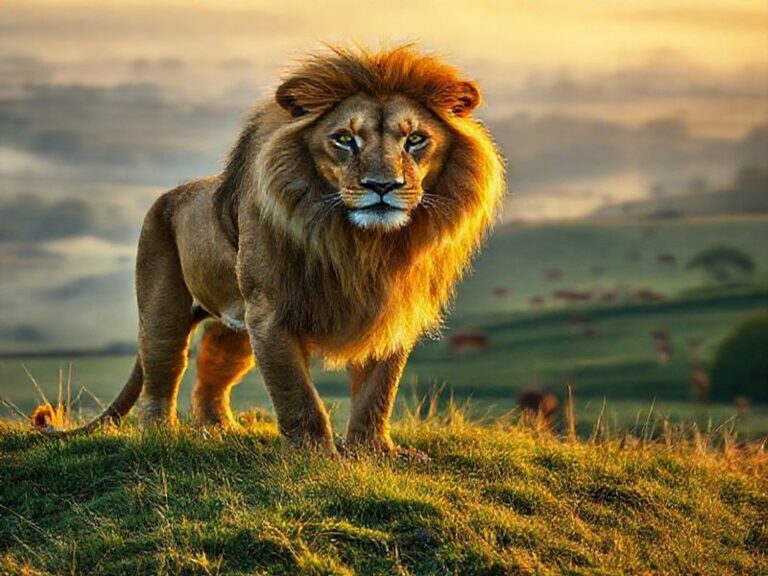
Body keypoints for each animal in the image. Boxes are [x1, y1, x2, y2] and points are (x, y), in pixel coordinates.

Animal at [39, 46, 505, 454]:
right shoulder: (271, 314)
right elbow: (297, 393)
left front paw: (374, 451)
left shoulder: (388, 313)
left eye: (416, 140)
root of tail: (170, 194)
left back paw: (221, 429)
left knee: (210, 372)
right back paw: (160, 435)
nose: (382, 186)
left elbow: (378, 392)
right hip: (163, 309)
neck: (364, 245)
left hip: (235, 327)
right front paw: (315, 454)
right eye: (344, 139)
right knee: (162, 371)